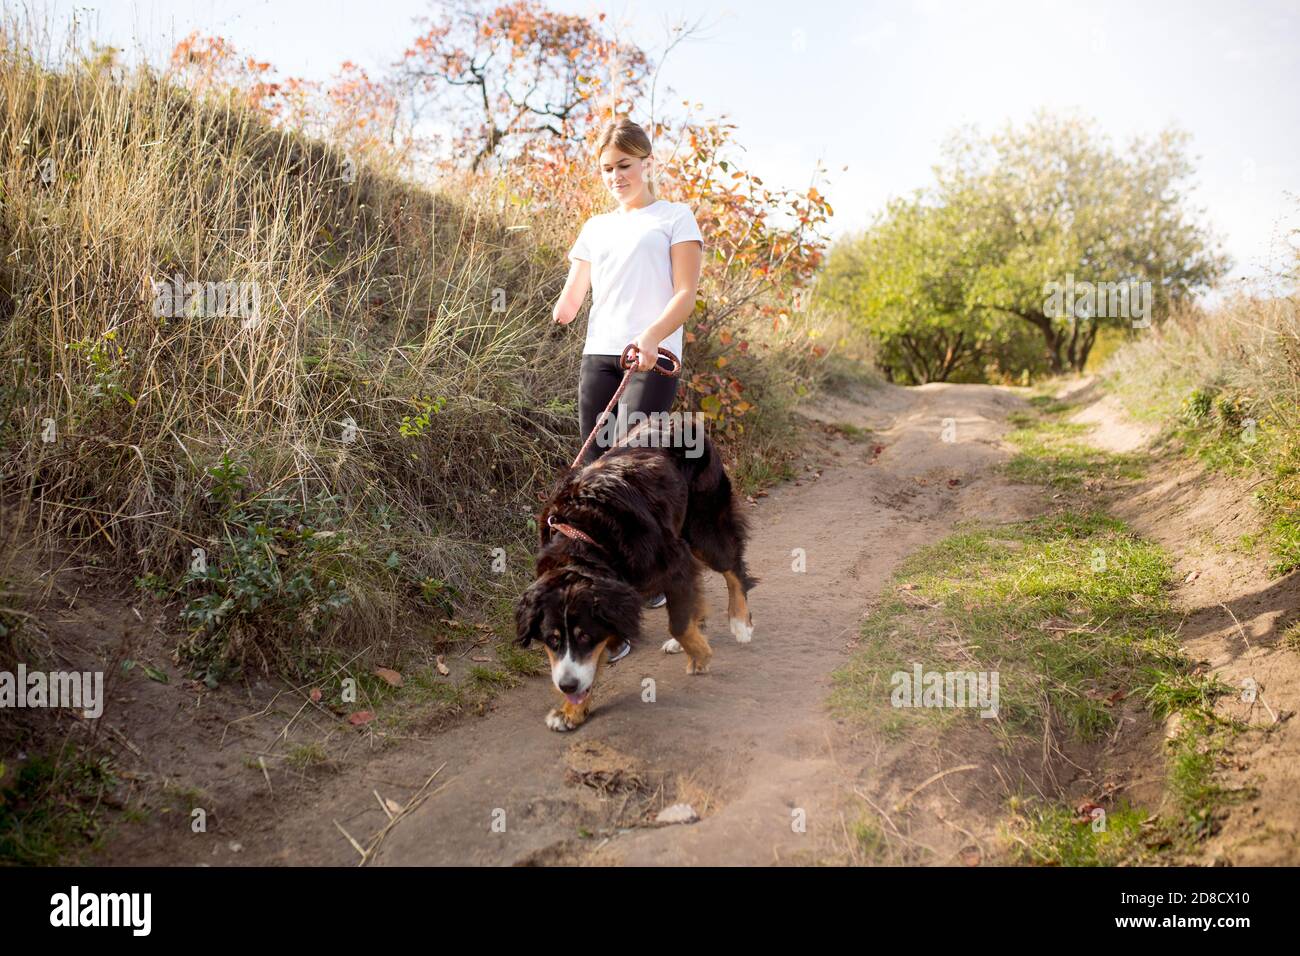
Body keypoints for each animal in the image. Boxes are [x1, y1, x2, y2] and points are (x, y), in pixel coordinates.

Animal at [517, 413, 759, 733]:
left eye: (584, 636)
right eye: (552, 640)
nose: (566, 686)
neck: (583, 536)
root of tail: (681, 419)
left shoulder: (673, 562)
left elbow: (678, 624)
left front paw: (700, 656)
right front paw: (571, 711)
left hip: (703, 526)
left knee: (732, 568)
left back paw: (740, 621)